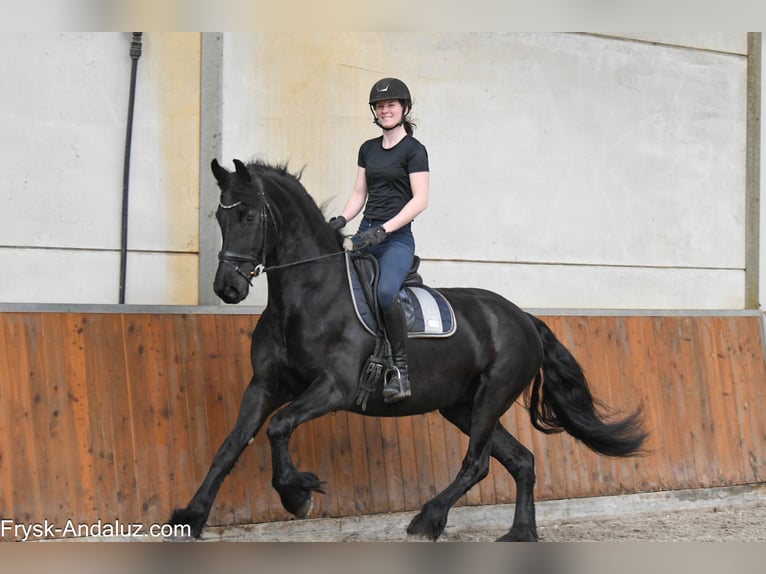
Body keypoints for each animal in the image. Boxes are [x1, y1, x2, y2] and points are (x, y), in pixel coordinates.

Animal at [168, 158, 647, 542]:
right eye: (219, 217)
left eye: (249, 216)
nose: (227, 288)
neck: (306, 294)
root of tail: (525, 318)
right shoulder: (265, 385)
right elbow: (231, 446)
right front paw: (190, 517)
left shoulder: (334, 388)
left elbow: (278, 427)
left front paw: (295, 494)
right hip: (461, 405)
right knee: (521, 460)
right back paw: (520, 533)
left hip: (491, 397)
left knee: (477, 464)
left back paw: (428, 519)